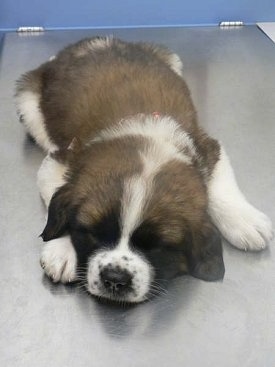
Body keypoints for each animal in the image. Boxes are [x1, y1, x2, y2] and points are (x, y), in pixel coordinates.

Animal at [15, 36, 274, 304]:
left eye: (154, 245)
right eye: (94, 233)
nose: (115, 278)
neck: (148, 140)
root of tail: (90, 42)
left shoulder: (207, 146)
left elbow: (220, 187)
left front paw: (244, 218)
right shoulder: (60, 161)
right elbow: (59, 198)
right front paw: (64, 248)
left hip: (171, 60)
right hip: (29, 104)